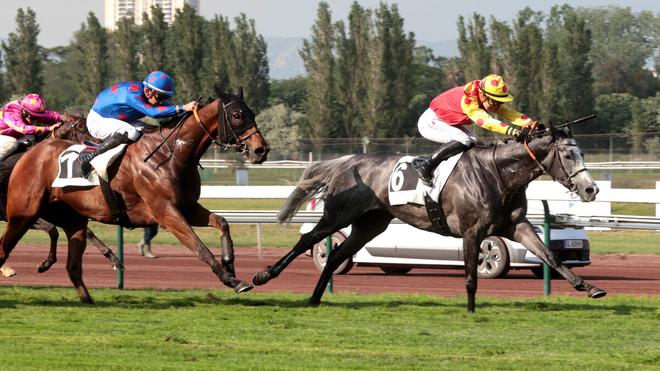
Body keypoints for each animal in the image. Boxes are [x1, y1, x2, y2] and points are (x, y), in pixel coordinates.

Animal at [0, 88, 268, 304]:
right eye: (237, 115)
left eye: (252, 114)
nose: (261, 150)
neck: (170, 155)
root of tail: (33, 153)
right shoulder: (166, 213)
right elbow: (200, 248)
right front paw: (230, 279)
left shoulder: (188, 207)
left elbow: (222, 223)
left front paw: (230, 265)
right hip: (24, 213)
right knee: (7, 248)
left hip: (71, 218)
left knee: (72, 263)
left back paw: (88, 298)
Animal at [255, 123, 604, 312]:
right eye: (569, 154)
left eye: (582, 152)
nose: (591, 189)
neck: (498, 173)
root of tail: (346, 161)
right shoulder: (473, 231)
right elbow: (471, 275)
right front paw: (471, 310)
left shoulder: (515, 226)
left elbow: (550, 255)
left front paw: (589, 288)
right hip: (338, 216)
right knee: (307, 241)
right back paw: (262, 277)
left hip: (370, 225)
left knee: (336, 254)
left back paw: (315, 298)